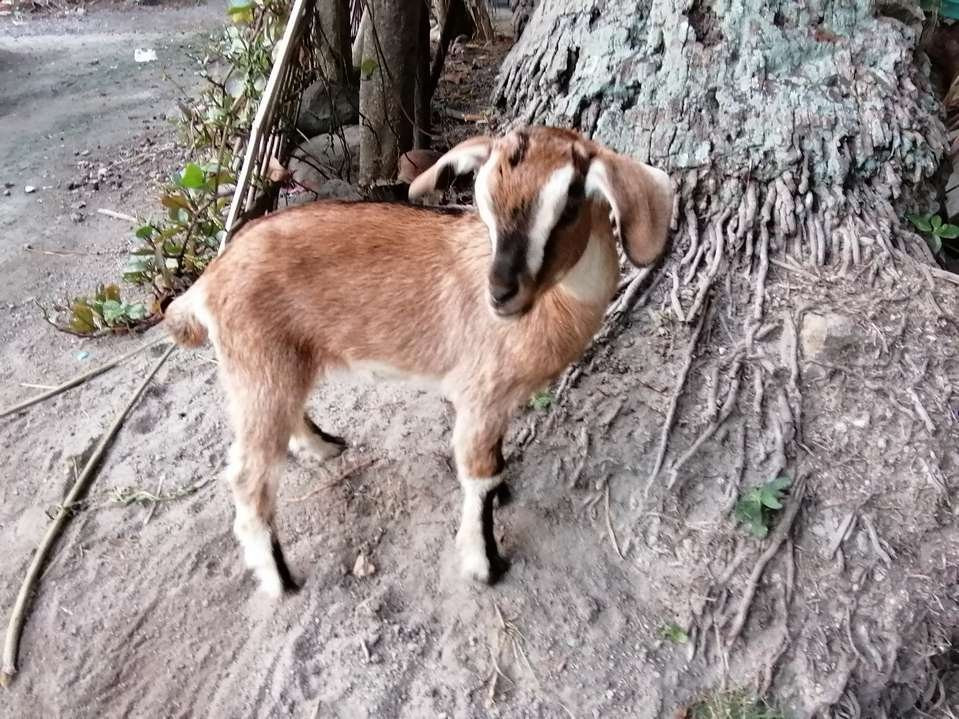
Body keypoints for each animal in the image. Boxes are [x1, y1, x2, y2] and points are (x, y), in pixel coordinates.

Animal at [165, 125, 676, 596]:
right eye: (483, 201)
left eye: (569, 206)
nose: (501, 293)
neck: (559, 307)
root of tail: (207, 281)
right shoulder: (480, 397)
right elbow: (480, 474)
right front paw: (486, 565)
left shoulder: (497, 405)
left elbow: (495, 464)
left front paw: (505, 494)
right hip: (257, 369)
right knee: (248, 478)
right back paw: (280, 579)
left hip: (279, 367)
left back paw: (325, 446)